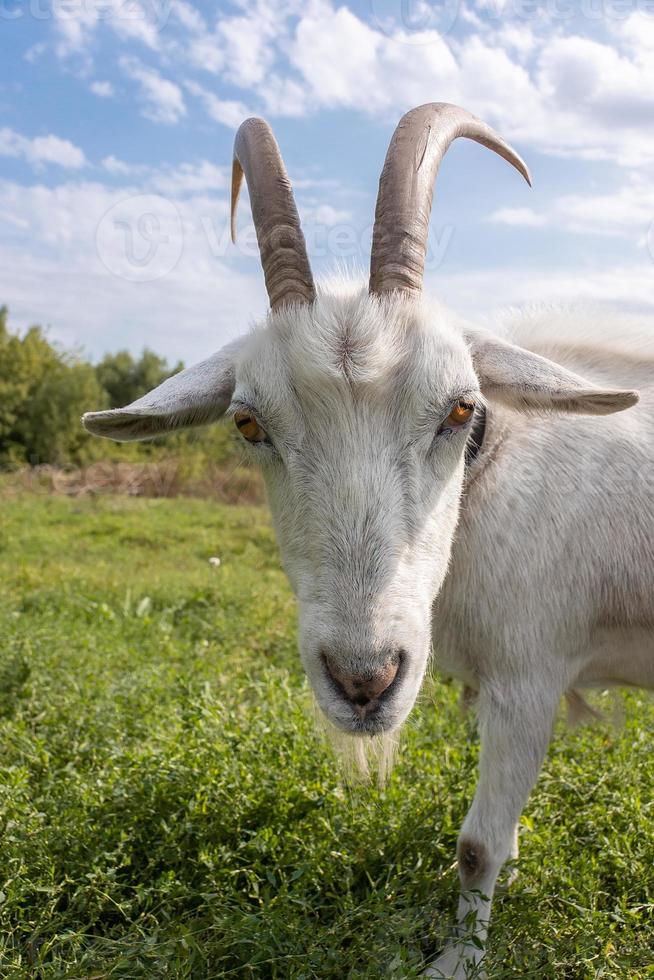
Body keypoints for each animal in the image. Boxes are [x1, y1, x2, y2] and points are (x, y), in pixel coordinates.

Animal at [79, 103, 652, 976]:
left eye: (460, 408)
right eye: (248, 423)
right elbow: (503, 839)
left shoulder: (530, 675)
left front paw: (456, 962)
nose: (363, 680)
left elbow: (478, 846)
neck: (492, 477)